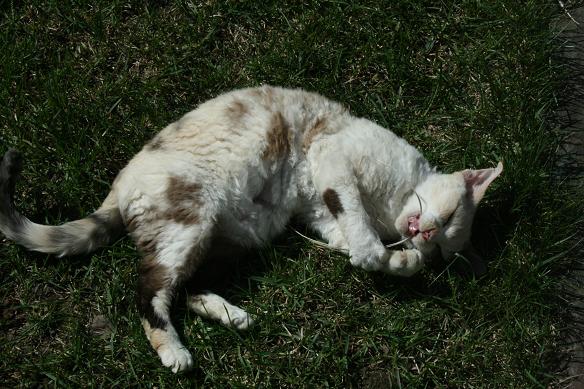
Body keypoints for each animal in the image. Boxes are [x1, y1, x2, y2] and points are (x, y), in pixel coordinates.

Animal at [0, 85, 502, 372]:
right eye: (450, 219)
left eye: (444, 250)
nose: (426, 237)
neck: (389, 207)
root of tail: (118, 187)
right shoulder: (334, 161)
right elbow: (367, 242)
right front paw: (386, 255)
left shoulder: (322, 212)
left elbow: (359, 241)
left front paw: (403, 260)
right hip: (193, 219)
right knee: (148, 292)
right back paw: (174, 352)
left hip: (233, 235)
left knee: (184, 287)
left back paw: (232, 315)